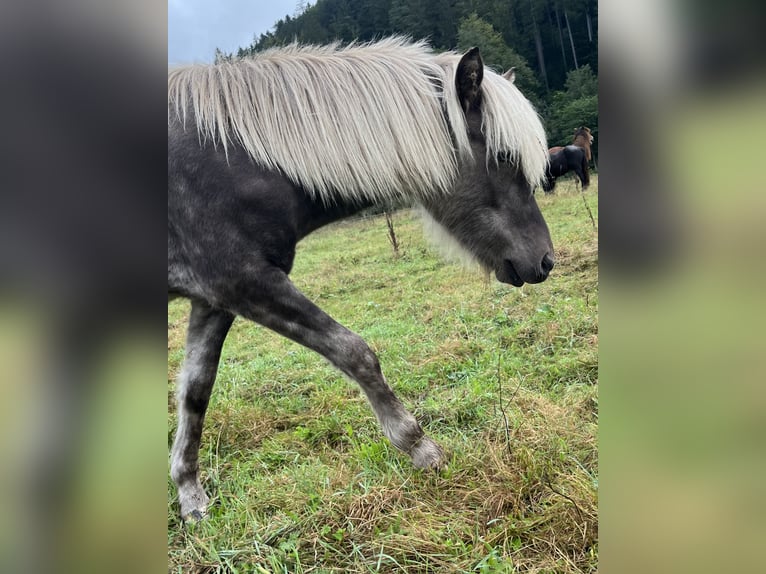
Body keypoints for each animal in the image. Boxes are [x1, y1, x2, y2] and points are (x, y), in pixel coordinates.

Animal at [168, 38, 556, 524]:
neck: (235, 158)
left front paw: (191, 497)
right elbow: (354, 352)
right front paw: (421, 448)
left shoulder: (213, 300)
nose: (546, 260)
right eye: (504, 156)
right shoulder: (243, 281)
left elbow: (195, 392)